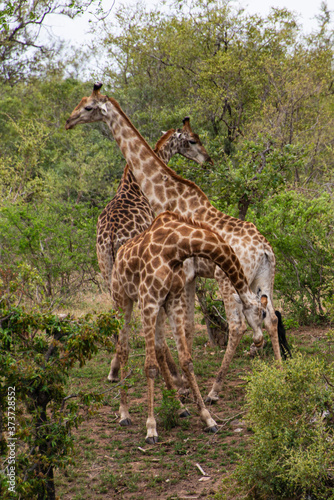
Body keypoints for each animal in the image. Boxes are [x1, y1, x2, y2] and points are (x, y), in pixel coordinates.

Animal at [65, 82, 284, 402]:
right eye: (81, 103)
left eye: (88, 107)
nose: (69, 121)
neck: (163, 193)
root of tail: (265, 249)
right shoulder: (188, 276)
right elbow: (188, 327)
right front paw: (183, 382)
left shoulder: (186, 272)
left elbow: (183, 328)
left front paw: (183, 385)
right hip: (264, 277)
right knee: (271, 318)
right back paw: (280, 374)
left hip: (228, 279)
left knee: (238, 324)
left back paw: (215, 389)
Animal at [111, 209, 268, 444]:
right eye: (261, 313)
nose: (259, 341)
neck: (176, 248)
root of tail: (118, 255)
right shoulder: (148, 300)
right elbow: (149, 366)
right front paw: (151, 428)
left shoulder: (172, 299)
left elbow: (186, 360)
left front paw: (208, 419)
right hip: (123, 299)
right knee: (124, 349)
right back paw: (124, 414)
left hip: (158, 308)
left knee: (159, 347)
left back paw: (179, 407)